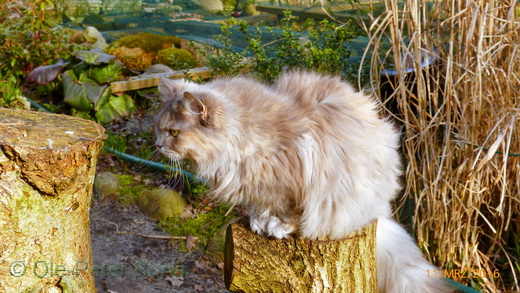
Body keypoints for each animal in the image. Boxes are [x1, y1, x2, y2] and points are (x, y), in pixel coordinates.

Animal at [153, 69, 450, 290]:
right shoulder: (260, 186)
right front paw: (259, 219)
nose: (157, 145)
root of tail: (377, 212)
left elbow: (291, 211)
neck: (242, 137)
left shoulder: (295, 177)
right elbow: (262, 203)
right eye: (159, 128)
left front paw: (278, 225)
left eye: (174, 133)